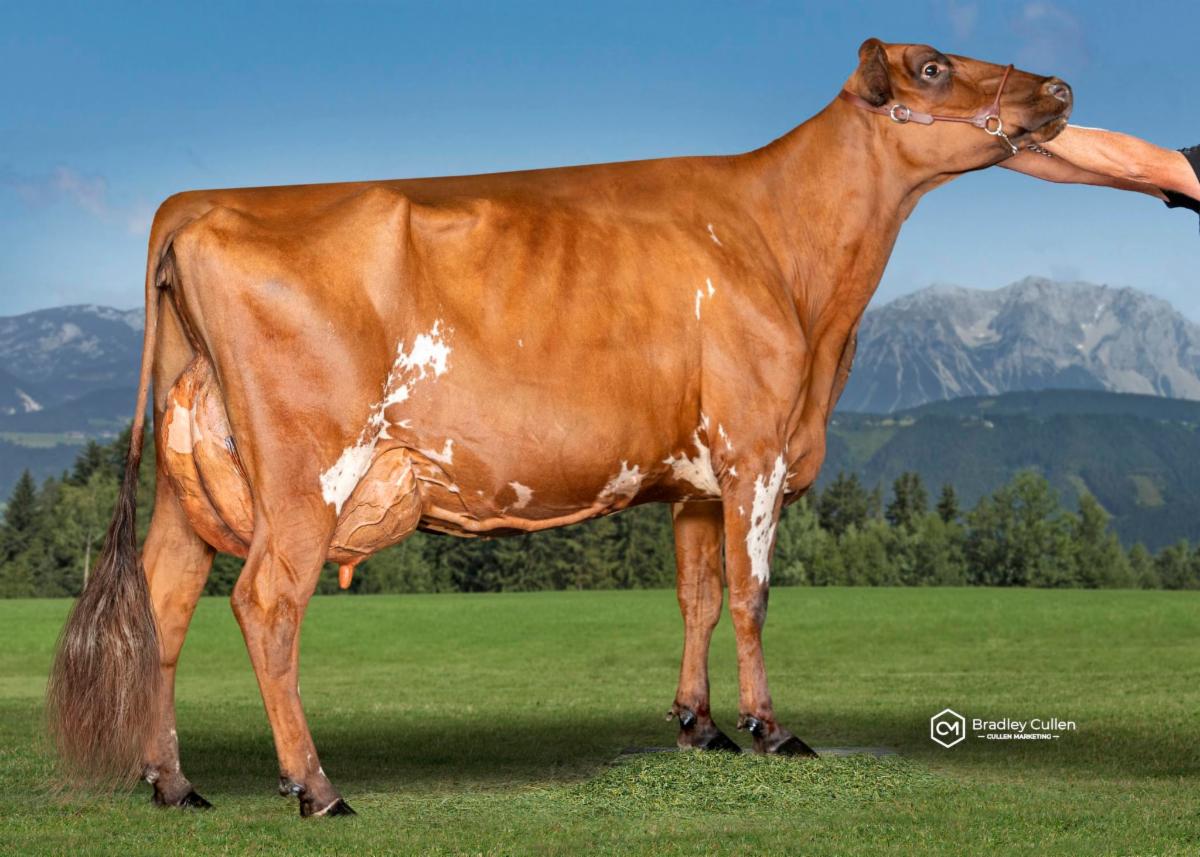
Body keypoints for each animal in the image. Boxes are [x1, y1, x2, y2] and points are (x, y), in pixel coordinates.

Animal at [47, 39, 1072, 816]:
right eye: (934, 67)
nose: (1059, 88)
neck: (795, 268)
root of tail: (201, 204)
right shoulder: (756, 453)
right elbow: (751, 596)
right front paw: (773, 730)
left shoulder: (694, 479)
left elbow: (697, 597)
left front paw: (699, 726)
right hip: (305, 472)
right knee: (264, 603)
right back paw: (315, 787)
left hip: (193, 480)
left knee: (165, 599)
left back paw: (172, 783)